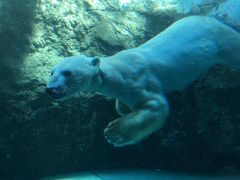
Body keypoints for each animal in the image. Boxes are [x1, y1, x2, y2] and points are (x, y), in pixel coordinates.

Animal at [45, 16, 240, 147]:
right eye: (51, 72)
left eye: (68, 72)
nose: (50, 89)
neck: (117, 72)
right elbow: (122, 106)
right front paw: (124, 109)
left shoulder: (139, 82)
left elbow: (156, 106)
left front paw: (114, 133)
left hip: (223, 40)